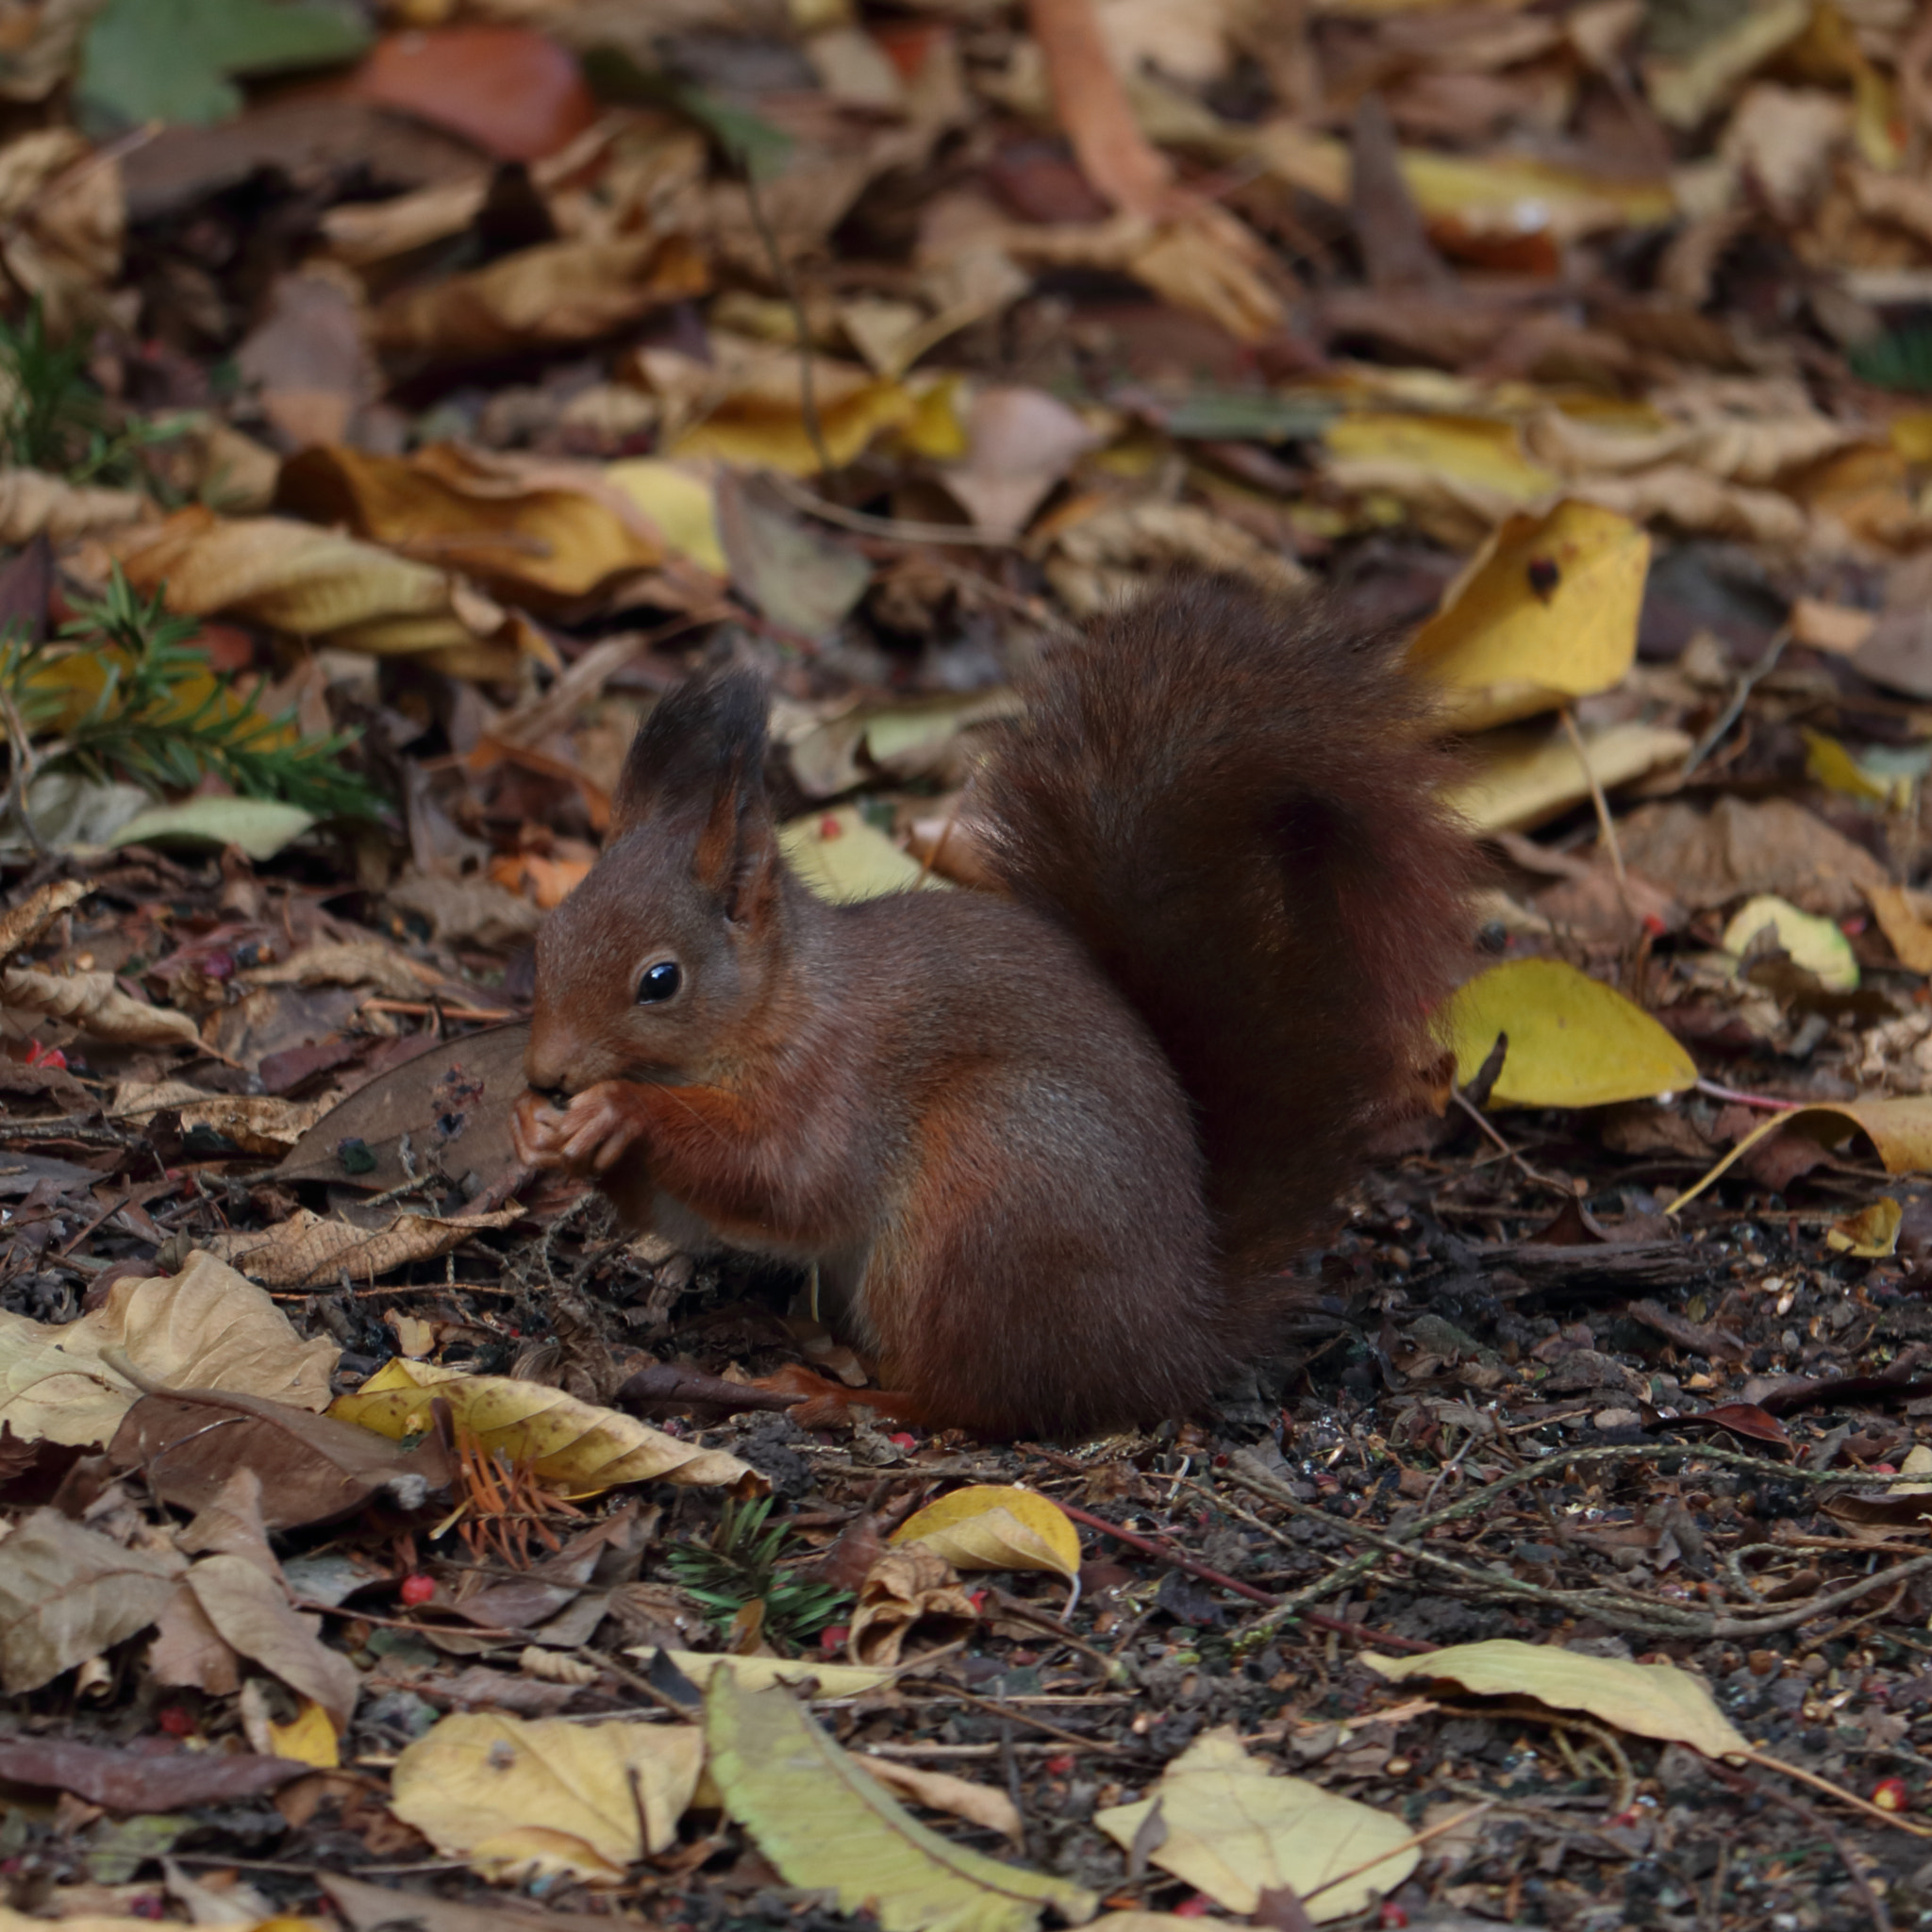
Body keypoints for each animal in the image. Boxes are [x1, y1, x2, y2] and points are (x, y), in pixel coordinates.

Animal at [512, 575, 1475, 1438]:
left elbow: (785, 1177)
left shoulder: (838, 1079)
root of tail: (1175, 1335)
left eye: (660, 981)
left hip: (987, 1193)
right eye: (545, 939)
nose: (547, 1074)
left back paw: (845, 1396)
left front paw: (618, 1109)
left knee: (975, 1400)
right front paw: (545, 1138)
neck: (779, 1003)